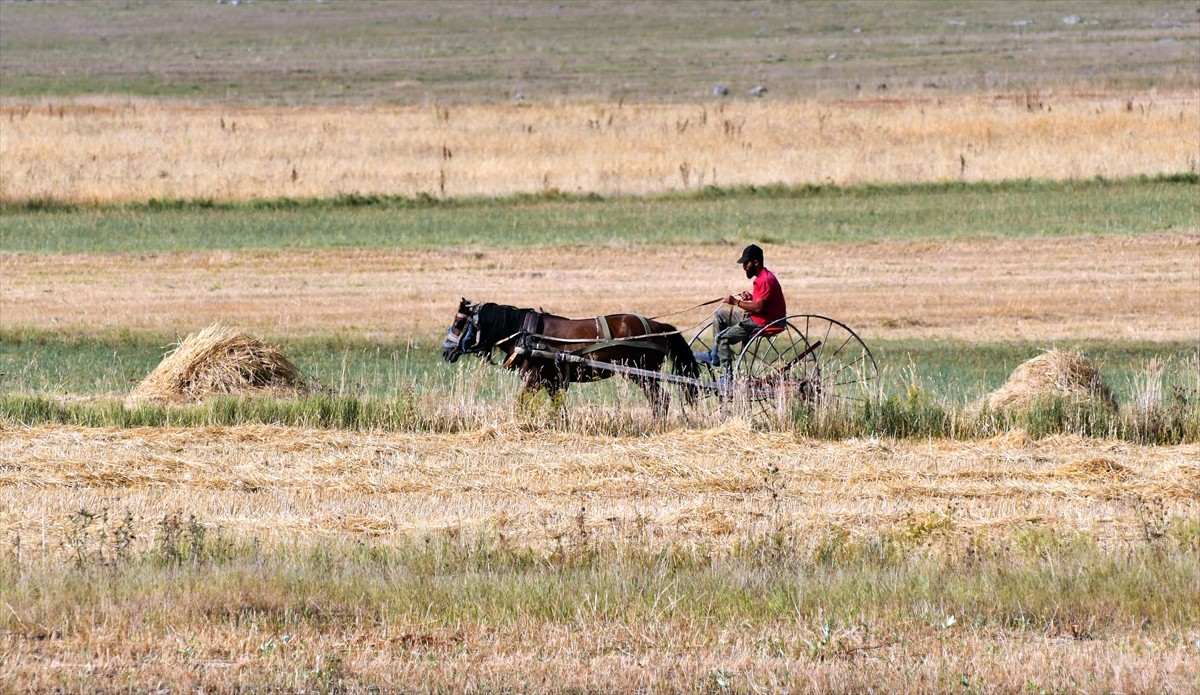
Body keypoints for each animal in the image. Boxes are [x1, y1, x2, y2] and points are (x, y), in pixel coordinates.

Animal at [446, 296, 700, 415]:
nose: (446, 350)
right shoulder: (552, 380)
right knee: (659, 400)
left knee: (661, 399)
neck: (524, 333)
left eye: (459, 323)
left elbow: (521, 404)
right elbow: (557, 407)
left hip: (641, 373)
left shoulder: (534, 378)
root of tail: (659, 327)